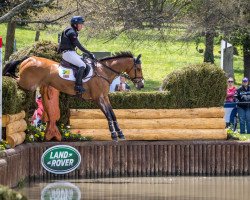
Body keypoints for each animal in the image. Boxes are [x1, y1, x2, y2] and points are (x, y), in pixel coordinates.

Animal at [3, 52, 145, 141]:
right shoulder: (98, 98)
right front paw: (114, 135)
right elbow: (108, 115)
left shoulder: (105, 97)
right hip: (26, 83)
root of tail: (29, 59)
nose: (141, 85)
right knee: (13, 78)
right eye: (138, 68)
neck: (103, 72)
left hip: (29, 85)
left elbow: (113, 114)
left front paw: (120, 133)